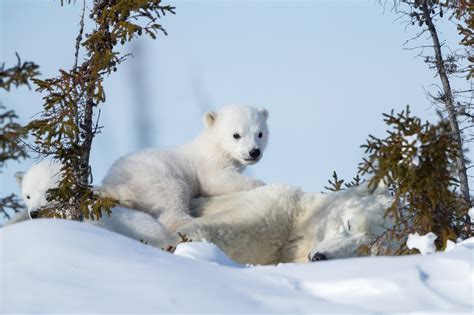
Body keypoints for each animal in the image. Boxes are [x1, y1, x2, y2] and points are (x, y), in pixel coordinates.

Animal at [101, 105, 268, 231]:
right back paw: (189, 221)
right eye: (236, 135)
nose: (254, 152)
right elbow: (215, 181)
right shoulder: (209, 163)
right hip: (153, 177)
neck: (213, 146)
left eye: (260, 134)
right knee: (172, 194)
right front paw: (261, 184)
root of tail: (112, 181)